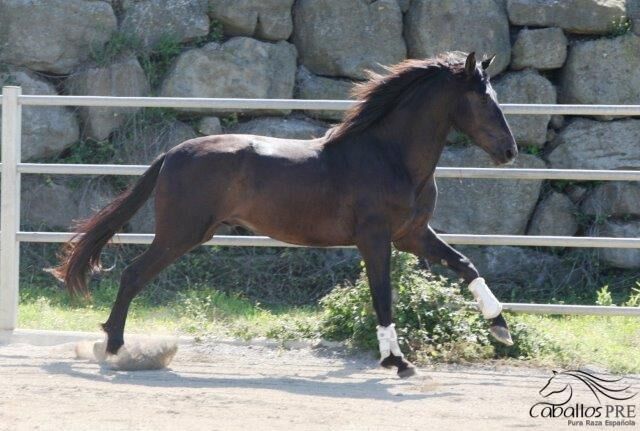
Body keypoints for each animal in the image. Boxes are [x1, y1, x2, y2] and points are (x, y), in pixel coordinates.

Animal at [52, 51, 516, 378]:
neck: (390, 157)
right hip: (180, 234)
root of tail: (173, 153)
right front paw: (397, 363)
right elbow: (383, 296)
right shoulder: (376, 239)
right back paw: (114, 349)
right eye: (483, 99)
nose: (510, 151)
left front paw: (501, 328)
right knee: (132, 276)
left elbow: (466, 265)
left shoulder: (412, 235)